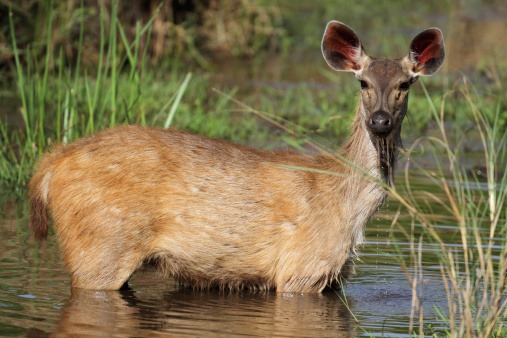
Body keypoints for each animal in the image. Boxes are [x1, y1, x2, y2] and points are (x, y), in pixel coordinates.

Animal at [29, 21, 446, 292]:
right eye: (363, 82)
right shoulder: (301, 270)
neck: (348, 206)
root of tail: (50, 165)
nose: (380, 120)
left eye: (405, 84)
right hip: (100, 246)